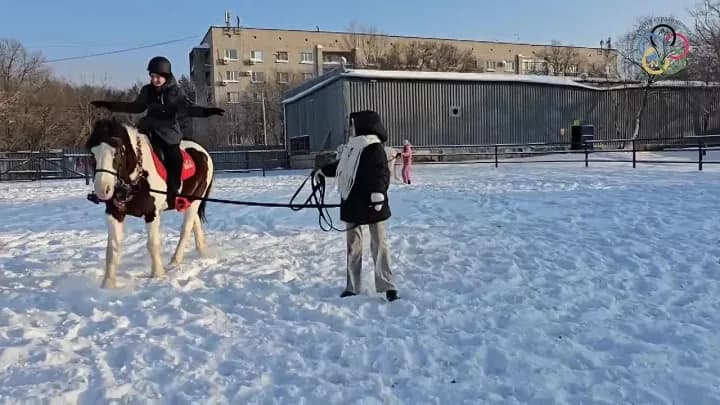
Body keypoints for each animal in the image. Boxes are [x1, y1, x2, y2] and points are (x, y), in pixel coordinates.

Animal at [84, 118, 214, 288]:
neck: (136, 180)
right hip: (189, 202)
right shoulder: (114, 213)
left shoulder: (151, 213)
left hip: (195, 200)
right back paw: (202, 250)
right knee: (195, 222)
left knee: (186, 228)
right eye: (93, 153)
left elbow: (152, 244)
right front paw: (108, 284)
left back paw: (175, 260)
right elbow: (113, 247)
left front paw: (158, 274)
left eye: (117, 152)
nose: (102, 189)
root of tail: (204, 152)